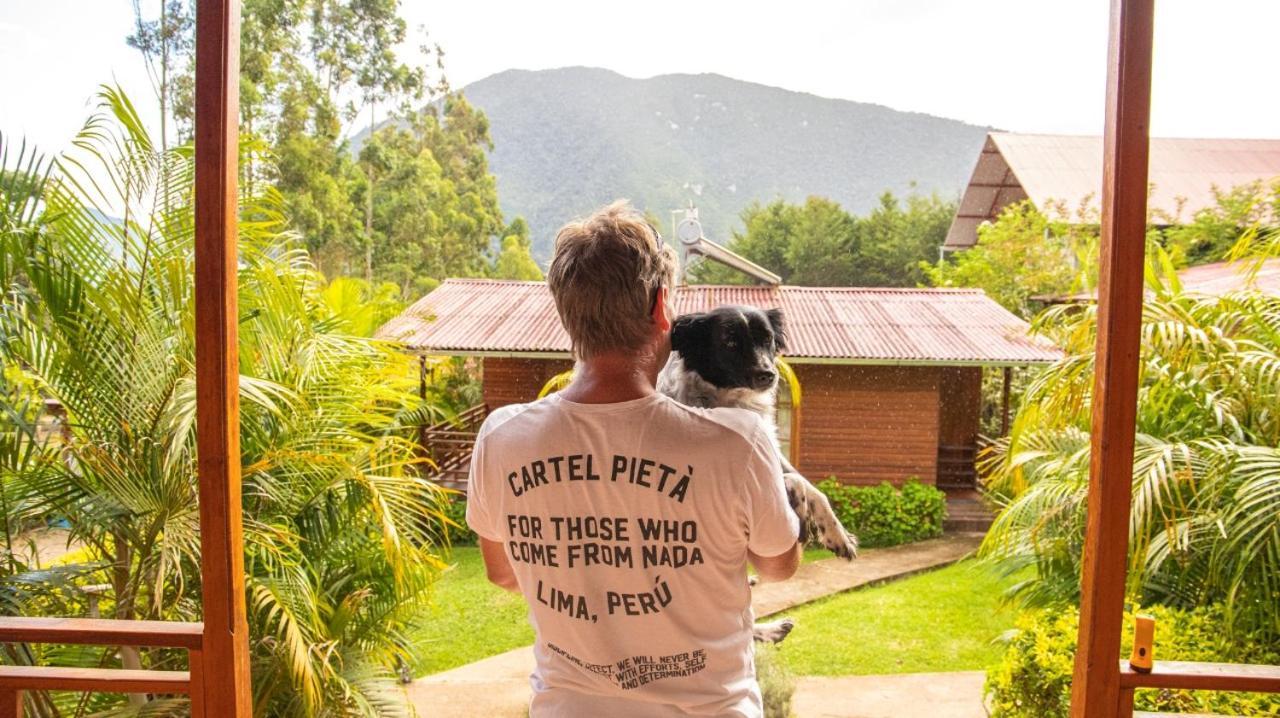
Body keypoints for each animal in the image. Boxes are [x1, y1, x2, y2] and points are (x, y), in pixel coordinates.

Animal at [660, 304, 860, 639]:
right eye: (729, 342)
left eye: (767, 339)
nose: (768, 374)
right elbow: (795, 482)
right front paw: (804, 521)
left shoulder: (773, 451)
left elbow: (814, 489)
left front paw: (838, 535)